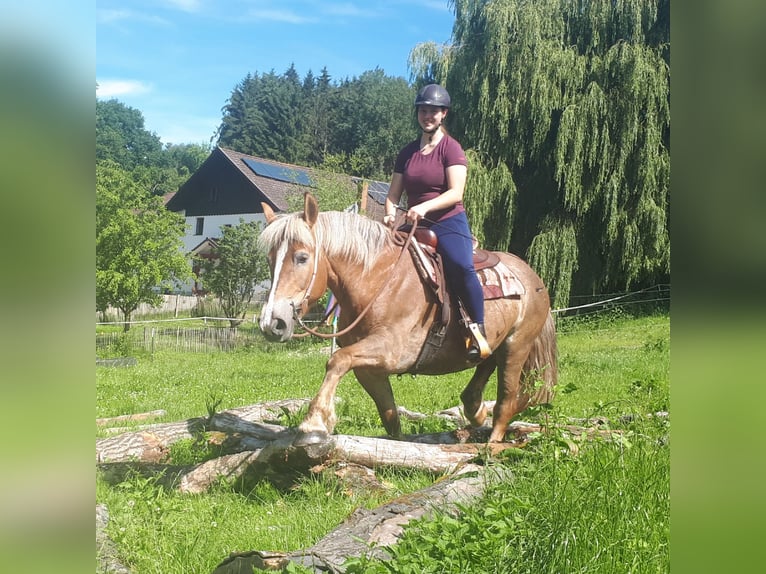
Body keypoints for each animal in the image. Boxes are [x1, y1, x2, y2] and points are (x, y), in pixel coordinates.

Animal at [258, 196, 560, 448]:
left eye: (302, 257)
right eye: (270, 259)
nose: (272, 323)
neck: (378, 281)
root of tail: (532, 276)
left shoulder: (392, 351)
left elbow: (337, 360)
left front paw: (314, 425)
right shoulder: (369, 370)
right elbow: (390, 416)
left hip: (516, 347)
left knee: (506, 400)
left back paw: (492, 445)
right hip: (494, 346)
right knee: (480, 380)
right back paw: (475, 412)